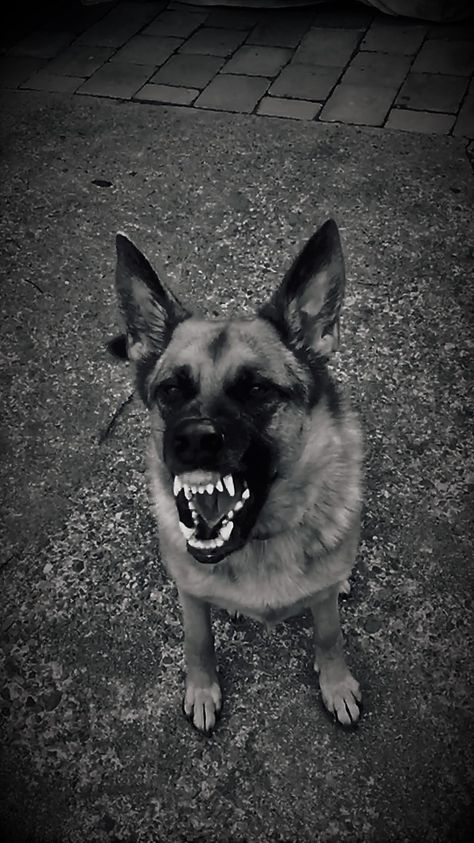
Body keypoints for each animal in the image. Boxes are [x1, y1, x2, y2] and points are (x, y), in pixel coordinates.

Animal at [111, 221, 362, 736]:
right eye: (171, 390)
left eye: (257, 389)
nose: (192, 440)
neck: (259, 541)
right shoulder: (189, 594)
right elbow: (198, 640)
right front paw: (203, 689)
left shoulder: (325, 609)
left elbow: (329, 634)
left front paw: (337, 684)